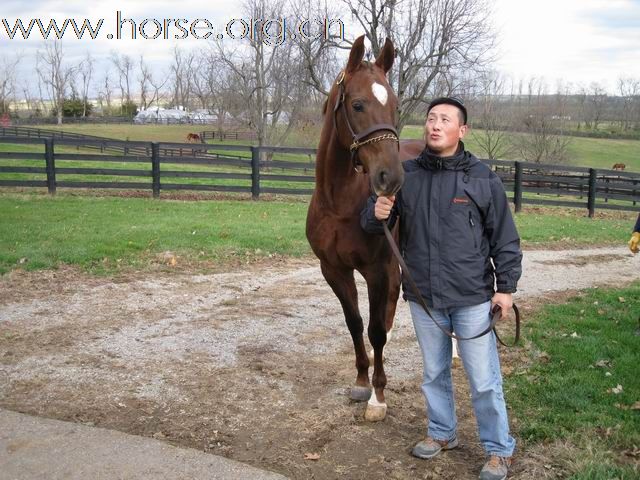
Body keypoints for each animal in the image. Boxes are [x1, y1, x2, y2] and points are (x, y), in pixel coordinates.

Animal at [306, 36, 422, 420]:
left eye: (395, 105)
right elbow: (355, 323)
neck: (340, 203)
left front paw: (378, 397)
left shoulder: (377, 270)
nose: (391, 178)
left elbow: (375, 331)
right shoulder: (333, 269)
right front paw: (361, 381)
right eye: (357, 105)